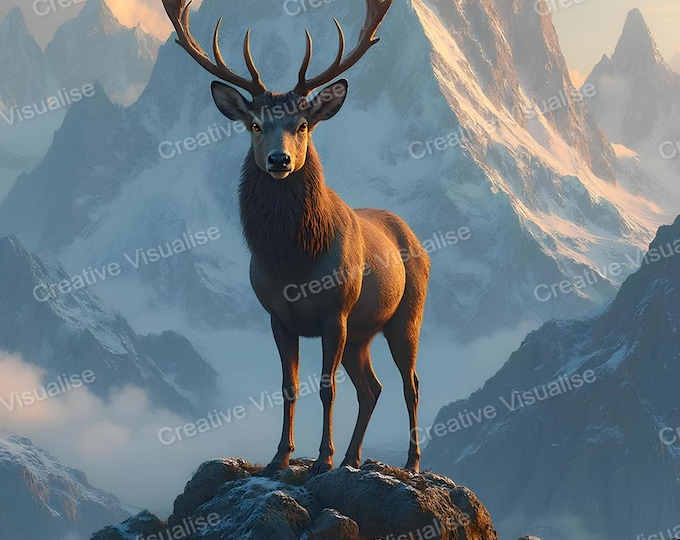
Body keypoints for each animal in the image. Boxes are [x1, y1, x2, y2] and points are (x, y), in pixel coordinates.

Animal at [162, 0, 430, 476]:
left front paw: (322, 457)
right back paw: (353, 456)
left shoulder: (335, 312)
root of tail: (415, 237)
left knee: (410, 383)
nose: (279, 160)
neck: (294, 262)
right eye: (254, 124)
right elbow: (287, 386)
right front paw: (279, 458)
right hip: (362, 333)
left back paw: (410, 461)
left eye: (303, 124)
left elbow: (326, 388)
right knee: (372, 387)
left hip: (406, 315)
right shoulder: (277, 315)